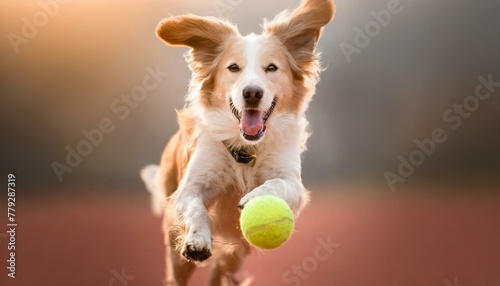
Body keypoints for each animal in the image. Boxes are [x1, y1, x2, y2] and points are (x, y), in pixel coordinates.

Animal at [141, 1, 334, 284]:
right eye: (233, 68)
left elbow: (276, 184)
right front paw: (198, 239)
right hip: (176, 249)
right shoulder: (189, 188)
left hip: (238, 251)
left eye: (271, 68)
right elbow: (196, 207)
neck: (246, 150)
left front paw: (255, 197)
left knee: (221, 270)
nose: (252, 92)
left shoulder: (291, 183)